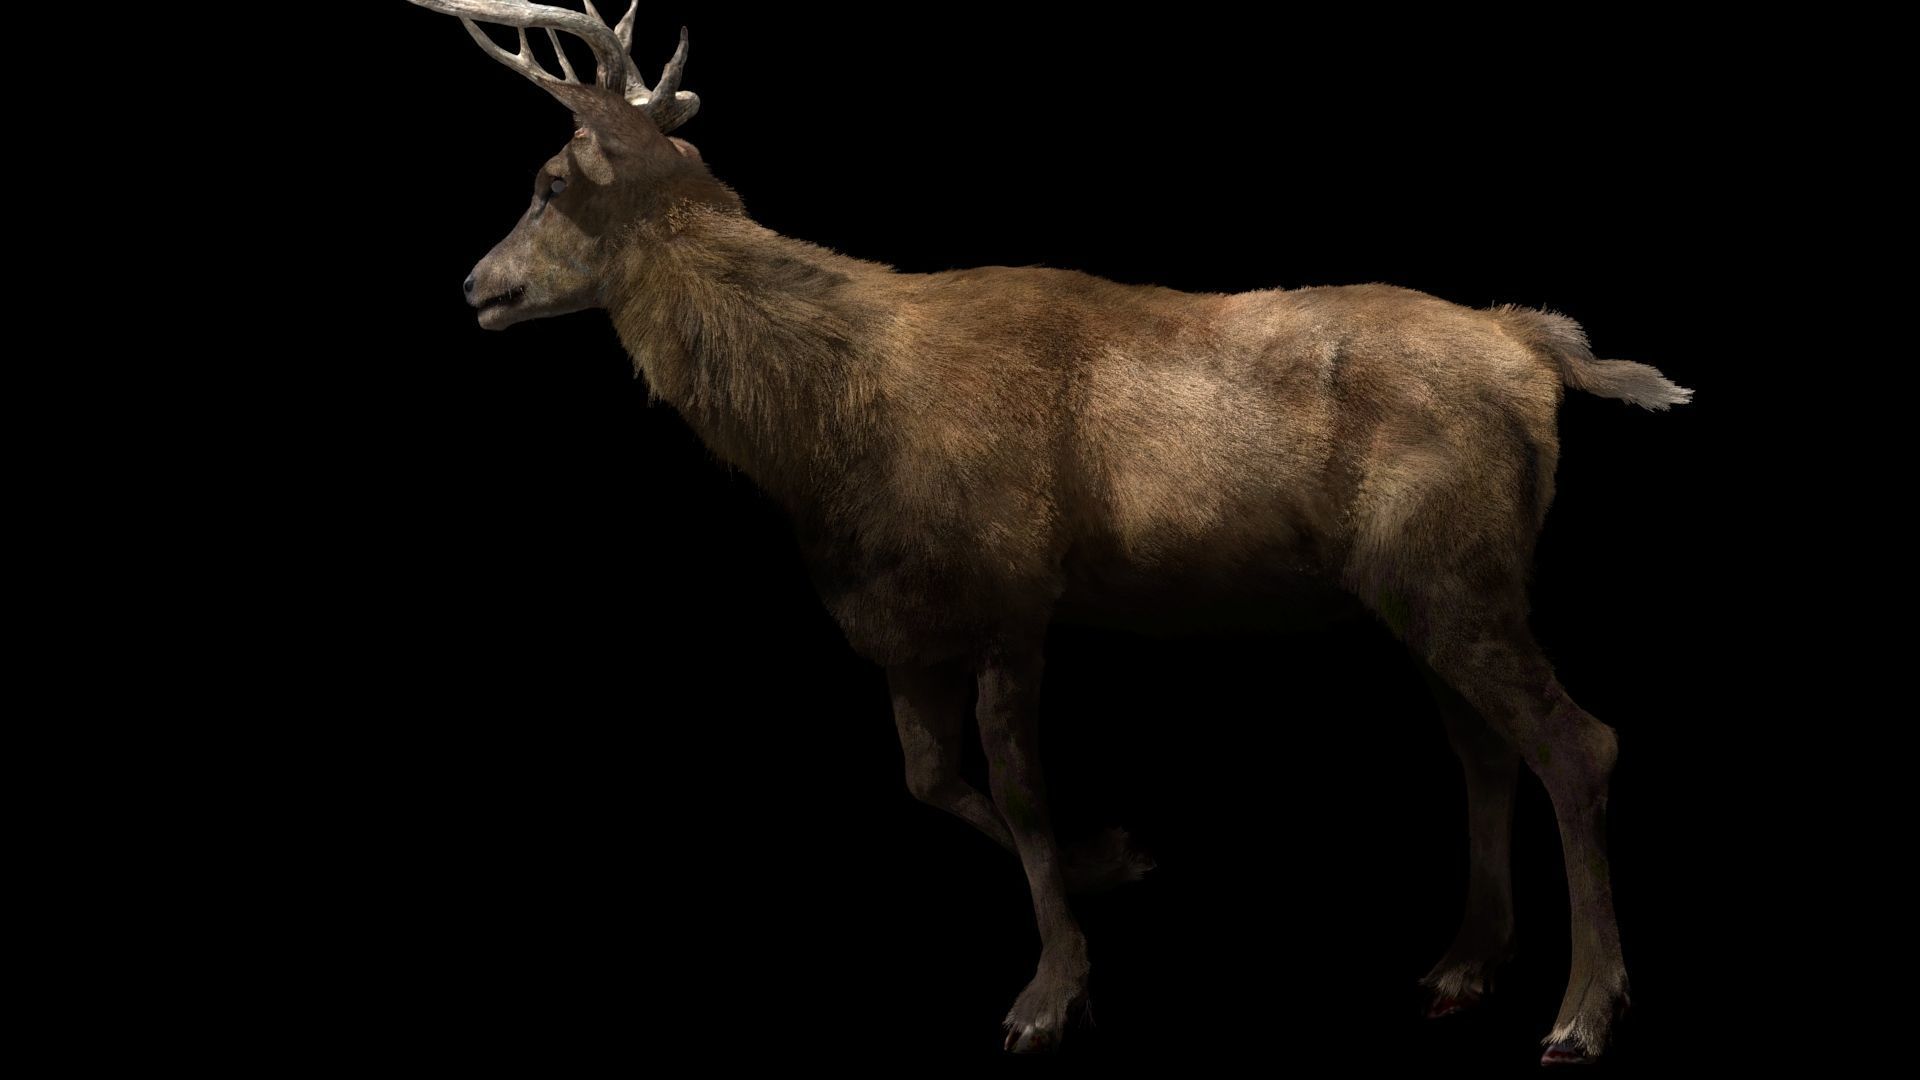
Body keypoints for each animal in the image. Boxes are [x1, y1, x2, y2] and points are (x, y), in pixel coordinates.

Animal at [407, 0, 1692, 1064]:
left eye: (549, 181)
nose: (475, 287)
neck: (830, 435)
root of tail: (1539, 354)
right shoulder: (900, 621)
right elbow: (931, 781)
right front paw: (1113, 859)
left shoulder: (1011, 586)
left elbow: (1017, 786)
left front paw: (1050, 993)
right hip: (1425, 586)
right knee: (1484, 748)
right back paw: (1464, 965)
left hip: (1454, 567)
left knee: (1579, 742)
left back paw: (1582, 1011)